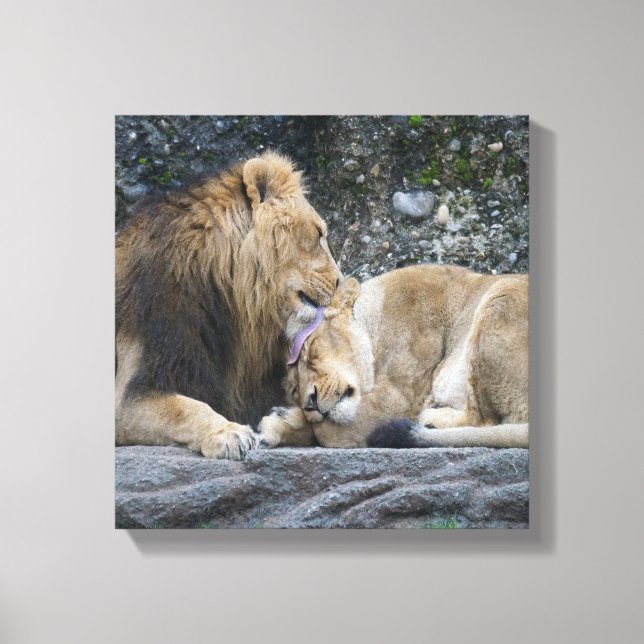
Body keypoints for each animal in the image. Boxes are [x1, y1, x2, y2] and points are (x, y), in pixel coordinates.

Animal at [116, 152, 341, 459]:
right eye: (318, 234)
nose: (341, 282)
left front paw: (281, 422)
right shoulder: (132, 391)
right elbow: (185, 409)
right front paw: (228, 433)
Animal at [258, 264, 528, 449]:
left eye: (311, 352)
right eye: (294, 389)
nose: (310, 403)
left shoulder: (399, 399)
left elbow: (325, 431)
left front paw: (283, 421)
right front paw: (281, 423)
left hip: (500, 297)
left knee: (485, 420)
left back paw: (430, 420)